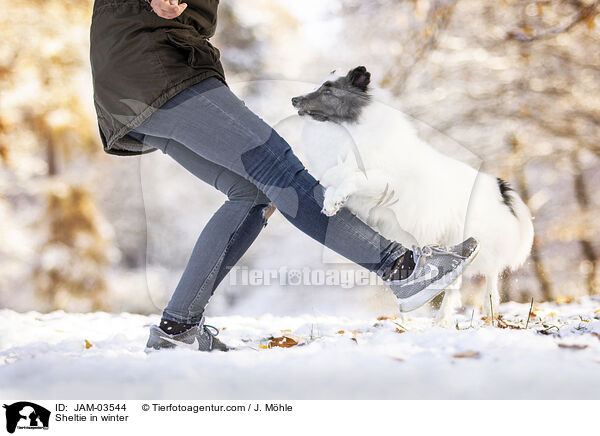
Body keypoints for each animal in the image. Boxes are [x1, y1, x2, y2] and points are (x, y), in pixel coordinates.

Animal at [284, 66, 536, 326]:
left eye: (328, 91)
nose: (294, 100)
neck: (350, 129)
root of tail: (500, 188)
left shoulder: (384, 182)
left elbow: (353, 178)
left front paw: (335, 198)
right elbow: (336, 184)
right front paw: (331, 202)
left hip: (479, 244)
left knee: (491, 278)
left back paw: (489, 313)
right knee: (455, 285)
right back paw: (442, 321)